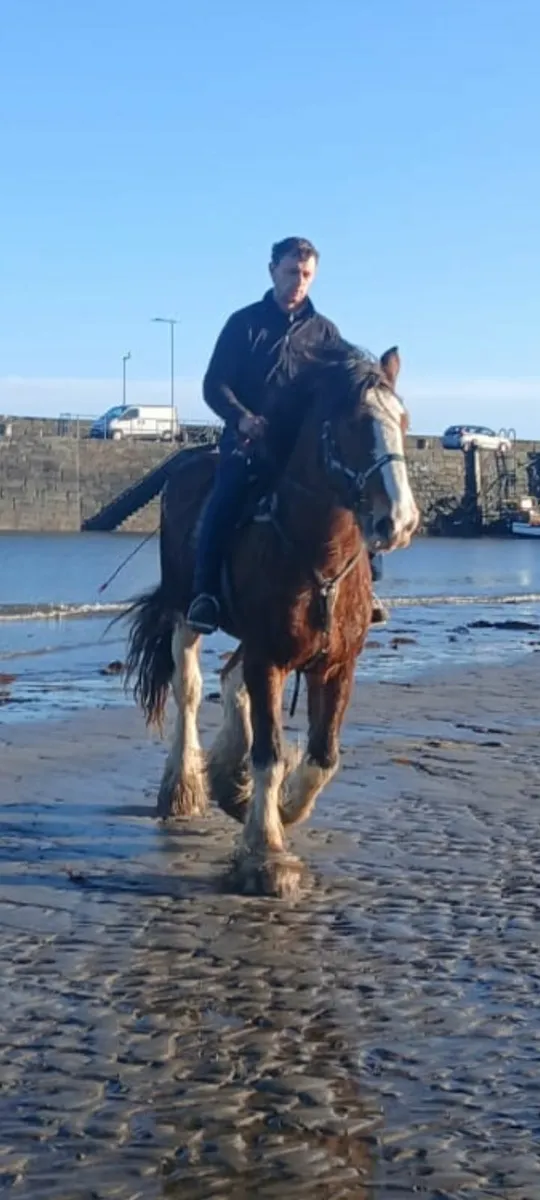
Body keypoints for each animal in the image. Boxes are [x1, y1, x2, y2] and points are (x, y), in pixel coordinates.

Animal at [126, 342, 419, 899]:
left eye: (404, 421)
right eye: (351, 424)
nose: (400, 521)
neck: (319, 557)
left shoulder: (337, 666)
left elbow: (323, 757)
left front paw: (274, 810)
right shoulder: (269, 658)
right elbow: (269, 752)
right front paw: (266, 853)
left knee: (228, 678)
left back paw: (226, 777)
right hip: (184, 611)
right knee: (190, 687)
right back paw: (182, 788)